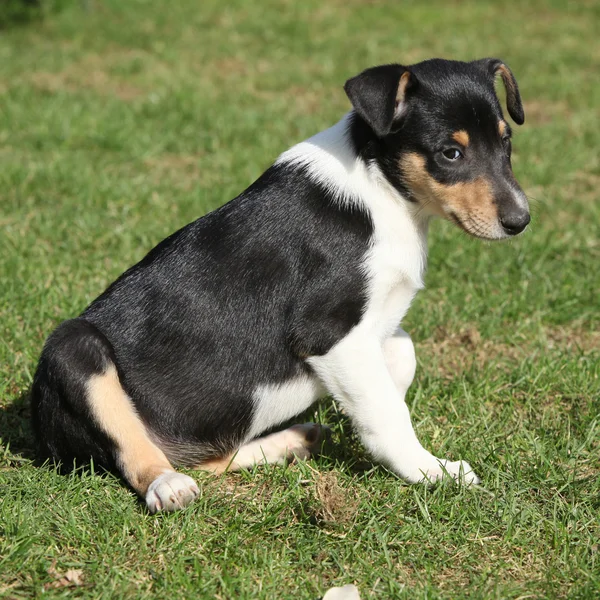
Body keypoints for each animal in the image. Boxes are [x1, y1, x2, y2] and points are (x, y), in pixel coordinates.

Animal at [31, 58, 528, 512]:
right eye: (450, 153)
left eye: (506, 142)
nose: (520, 221)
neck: (384, 191)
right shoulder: (328, 333)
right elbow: (387, 411)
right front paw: (432, 471)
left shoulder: (370, 326)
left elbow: (401, 356)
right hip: (74, 348)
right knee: (136, 453)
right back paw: (167, 485)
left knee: (211, 460)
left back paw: (294, 441)